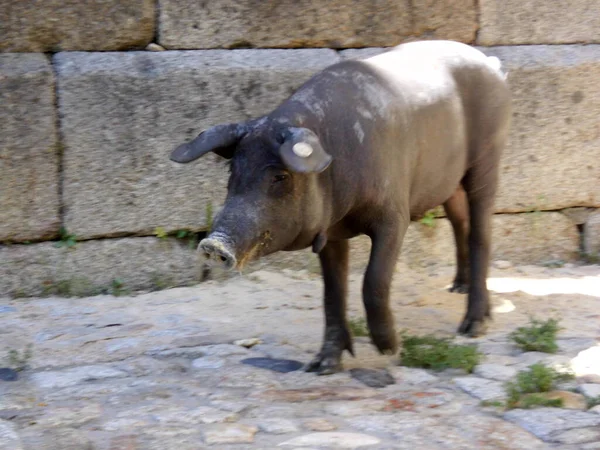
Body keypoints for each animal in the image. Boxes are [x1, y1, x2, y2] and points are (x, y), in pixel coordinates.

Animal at [169, 40, 510, 374]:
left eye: (280, 176)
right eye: (233, 170)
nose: (212, 244)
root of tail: (489, 62)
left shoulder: (394, 214)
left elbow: (374, 279)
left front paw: (390, 348)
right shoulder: (331, 230)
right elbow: (332, 292)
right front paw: (321, 367)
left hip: (488, 155)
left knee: (481, 230)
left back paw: (471, 327)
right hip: (448, 183)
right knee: (460, 222)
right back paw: (457, 288)